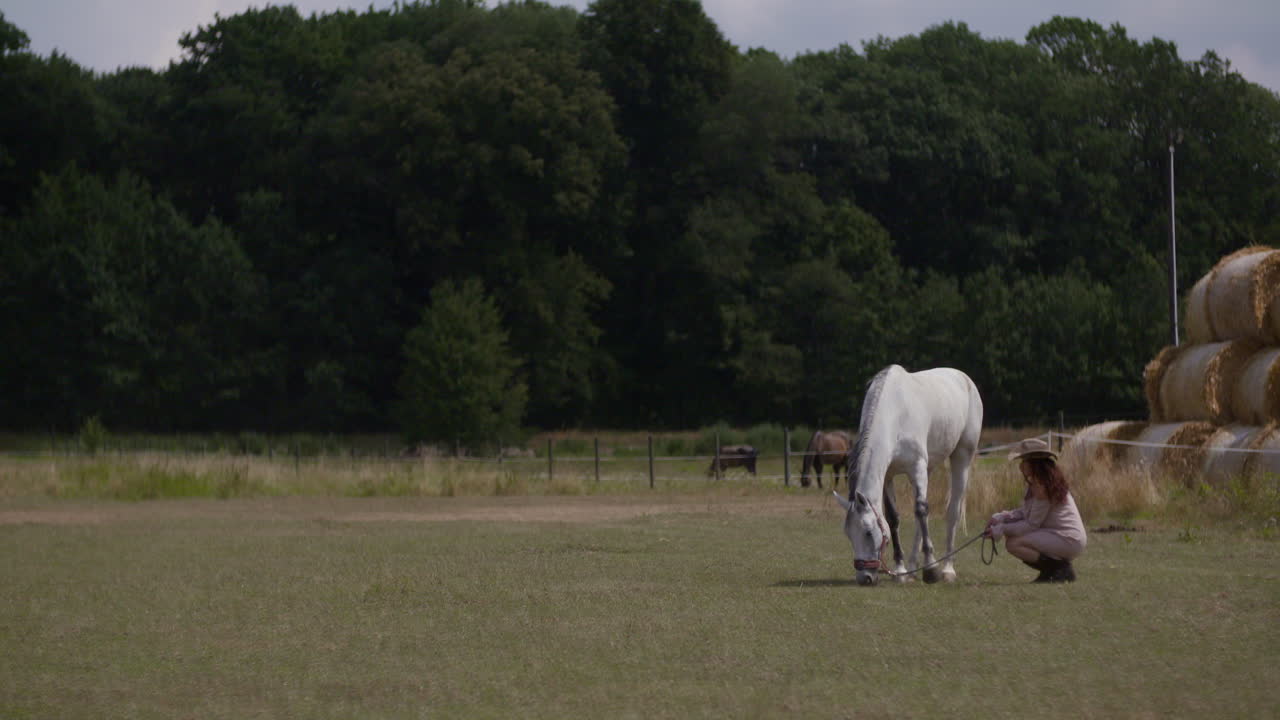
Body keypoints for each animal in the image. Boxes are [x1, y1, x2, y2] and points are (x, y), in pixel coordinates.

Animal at [834, 365, 983, 586]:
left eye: (868, 532)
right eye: (849, 534)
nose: (865, 577)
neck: (896, 413)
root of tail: (963, 378)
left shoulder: (916, 467)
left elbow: (921, 510)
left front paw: (931, 570)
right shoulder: (888, 475)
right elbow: (894, 518)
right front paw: (900, 569)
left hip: (961, 457)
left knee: (951, 512)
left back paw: (947, 569)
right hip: (928, 468)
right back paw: (912, 568)